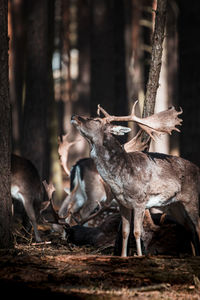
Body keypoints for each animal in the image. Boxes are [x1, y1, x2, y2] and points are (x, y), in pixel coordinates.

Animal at [70, 102, 200, 256]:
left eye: (96, 120)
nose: (74, 116)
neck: (121, 177)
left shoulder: (140, 201)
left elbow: (137, 232)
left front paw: (139, 255)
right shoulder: (123, 203)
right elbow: (125, 232)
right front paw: (123, 256)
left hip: (192, 199)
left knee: (197, 226)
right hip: (174, 205)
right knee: (189, 227)